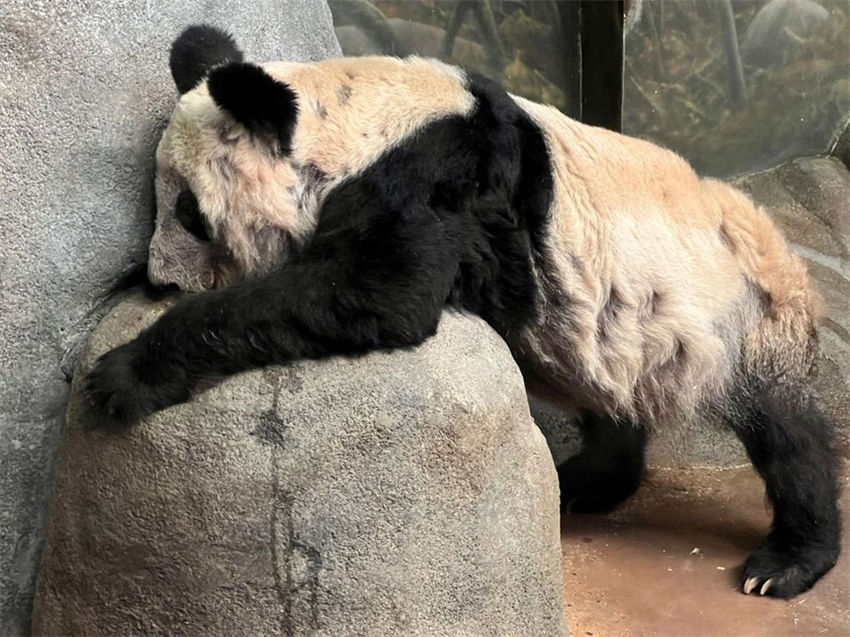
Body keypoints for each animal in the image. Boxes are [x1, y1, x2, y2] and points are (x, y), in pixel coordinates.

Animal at [87, 25, 841, 599]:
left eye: (189, 210)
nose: (161, 278)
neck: (357, 118)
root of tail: (784, 253)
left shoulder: (437, 179)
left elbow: (379, 292)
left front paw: (122, 374)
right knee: (611, 399)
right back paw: (587, 482)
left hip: (741, 317)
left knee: (789, 435)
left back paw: (787, 562)